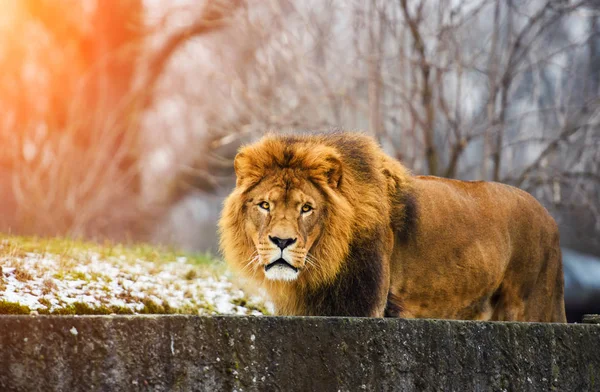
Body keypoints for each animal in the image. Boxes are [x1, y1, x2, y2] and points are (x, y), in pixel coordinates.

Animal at [218, 132, 564, 322]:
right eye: (265, 205)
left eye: (306, 208)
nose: (281, 241)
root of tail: (550, 218)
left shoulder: (365, 308)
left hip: (535, 305)